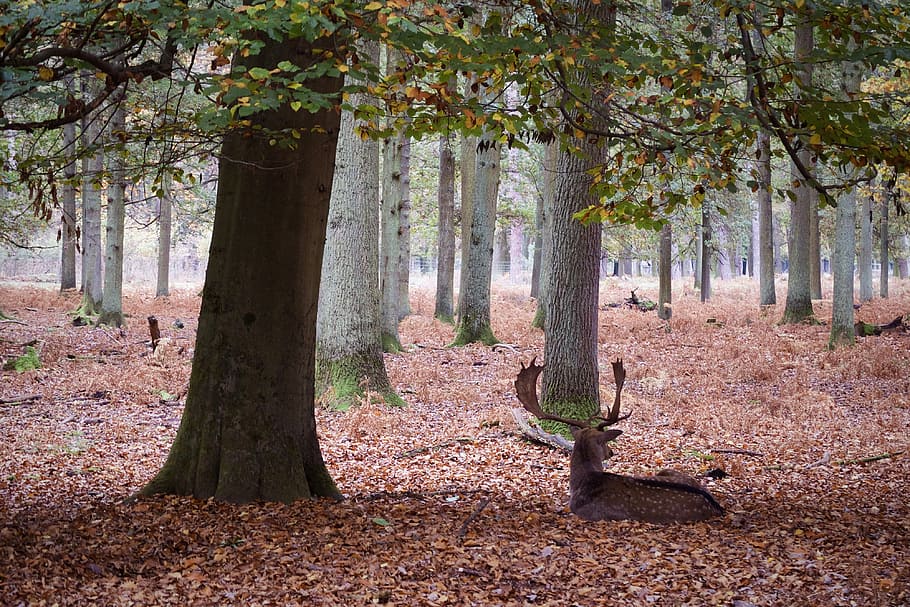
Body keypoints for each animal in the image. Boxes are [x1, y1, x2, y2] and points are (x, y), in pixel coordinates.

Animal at [515, 358, 723, 524]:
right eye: (604, 443)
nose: (611, 452)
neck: (583, 482)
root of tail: (716, 506)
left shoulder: (589, 513)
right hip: (669, 471)